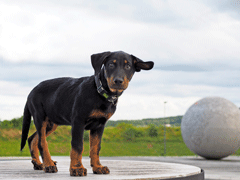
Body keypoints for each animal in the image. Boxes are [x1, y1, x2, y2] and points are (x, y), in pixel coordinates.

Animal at [20, 50, 154, 176]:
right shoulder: (78, 121)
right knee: (42, 142)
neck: (100, 93)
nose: (118, 81)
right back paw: (48, 165)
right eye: (111, 64)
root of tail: (30, 93)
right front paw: (77, 168)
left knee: (32, 139)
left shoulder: (99, 125)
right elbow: (78, 146)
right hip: (40, 117)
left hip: (51, 123)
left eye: (128, 66)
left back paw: (39, 164)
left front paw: (98, 167)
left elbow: (95, 148)